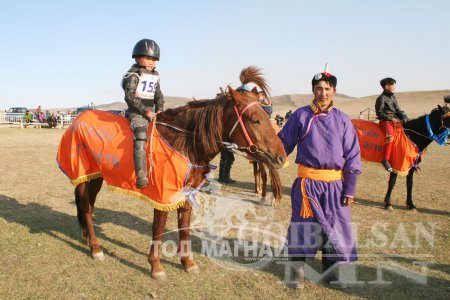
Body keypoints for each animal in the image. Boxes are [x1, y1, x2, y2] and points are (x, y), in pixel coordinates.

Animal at [71, 67, 288, 280]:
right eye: (254, 120)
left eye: (267, 115)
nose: (281, 158)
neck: (186, 143)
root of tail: (78, 119)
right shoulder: (163, 195)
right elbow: (158, 228)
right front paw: (156, 266)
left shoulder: (188, 192)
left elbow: (184, 226)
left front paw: (187, 261)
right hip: (83, 176)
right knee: (86, 206)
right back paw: (96, 248)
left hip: (95, 177)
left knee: (88, 205)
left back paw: (88, 237)